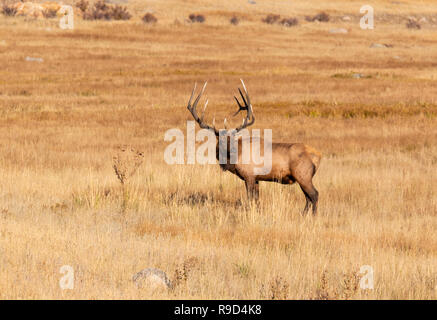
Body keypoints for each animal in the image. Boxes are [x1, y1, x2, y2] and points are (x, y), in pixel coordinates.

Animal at [185, 80, 320, 215]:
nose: (227, 154)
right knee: (308, 197)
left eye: (232, 140)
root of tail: (318, 156)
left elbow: (250, 198)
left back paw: (313, 216)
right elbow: (256, 198)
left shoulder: (249, 175)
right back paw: (303, 214)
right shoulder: (256, 178)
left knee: (314, 194)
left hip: (303, 175)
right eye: (219, 140)